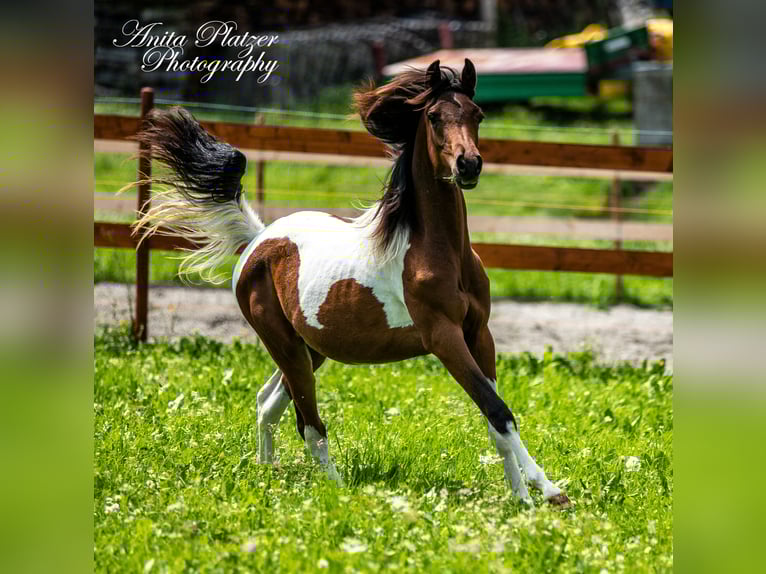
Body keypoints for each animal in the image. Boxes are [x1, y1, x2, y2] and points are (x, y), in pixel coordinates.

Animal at [134, 59, 570, 507]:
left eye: (477, 115)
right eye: (434, 116)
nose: (468, 165)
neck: (439, 251)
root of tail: (258, 239)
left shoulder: (479, 333)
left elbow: (493, 418)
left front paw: (522, 498)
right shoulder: (443, 337)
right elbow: (498, 411)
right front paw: (551, 491)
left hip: (310, 349)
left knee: (267, 403)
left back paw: (268, 474)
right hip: (284, 346)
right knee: (310, 426)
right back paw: (338, 491)